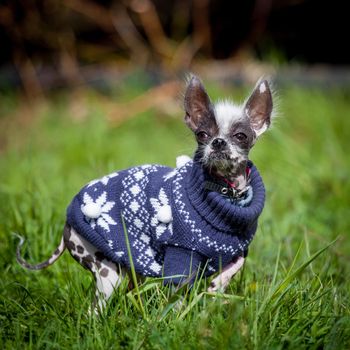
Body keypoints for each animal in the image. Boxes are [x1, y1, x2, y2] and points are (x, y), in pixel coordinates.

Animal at [16, 75, 274, 310]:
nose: (218, 142)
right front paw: (175, 319)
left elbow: (232, 268)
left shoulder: (237, 251)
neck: (225, 194)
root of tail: (67, 224)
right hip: (108, 273)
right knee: (94, 311)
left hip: (131, 267)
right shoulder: (180, 256)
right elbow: (177, 295)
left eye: (241, 136)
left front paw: (217, 286)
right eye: (202, 134)